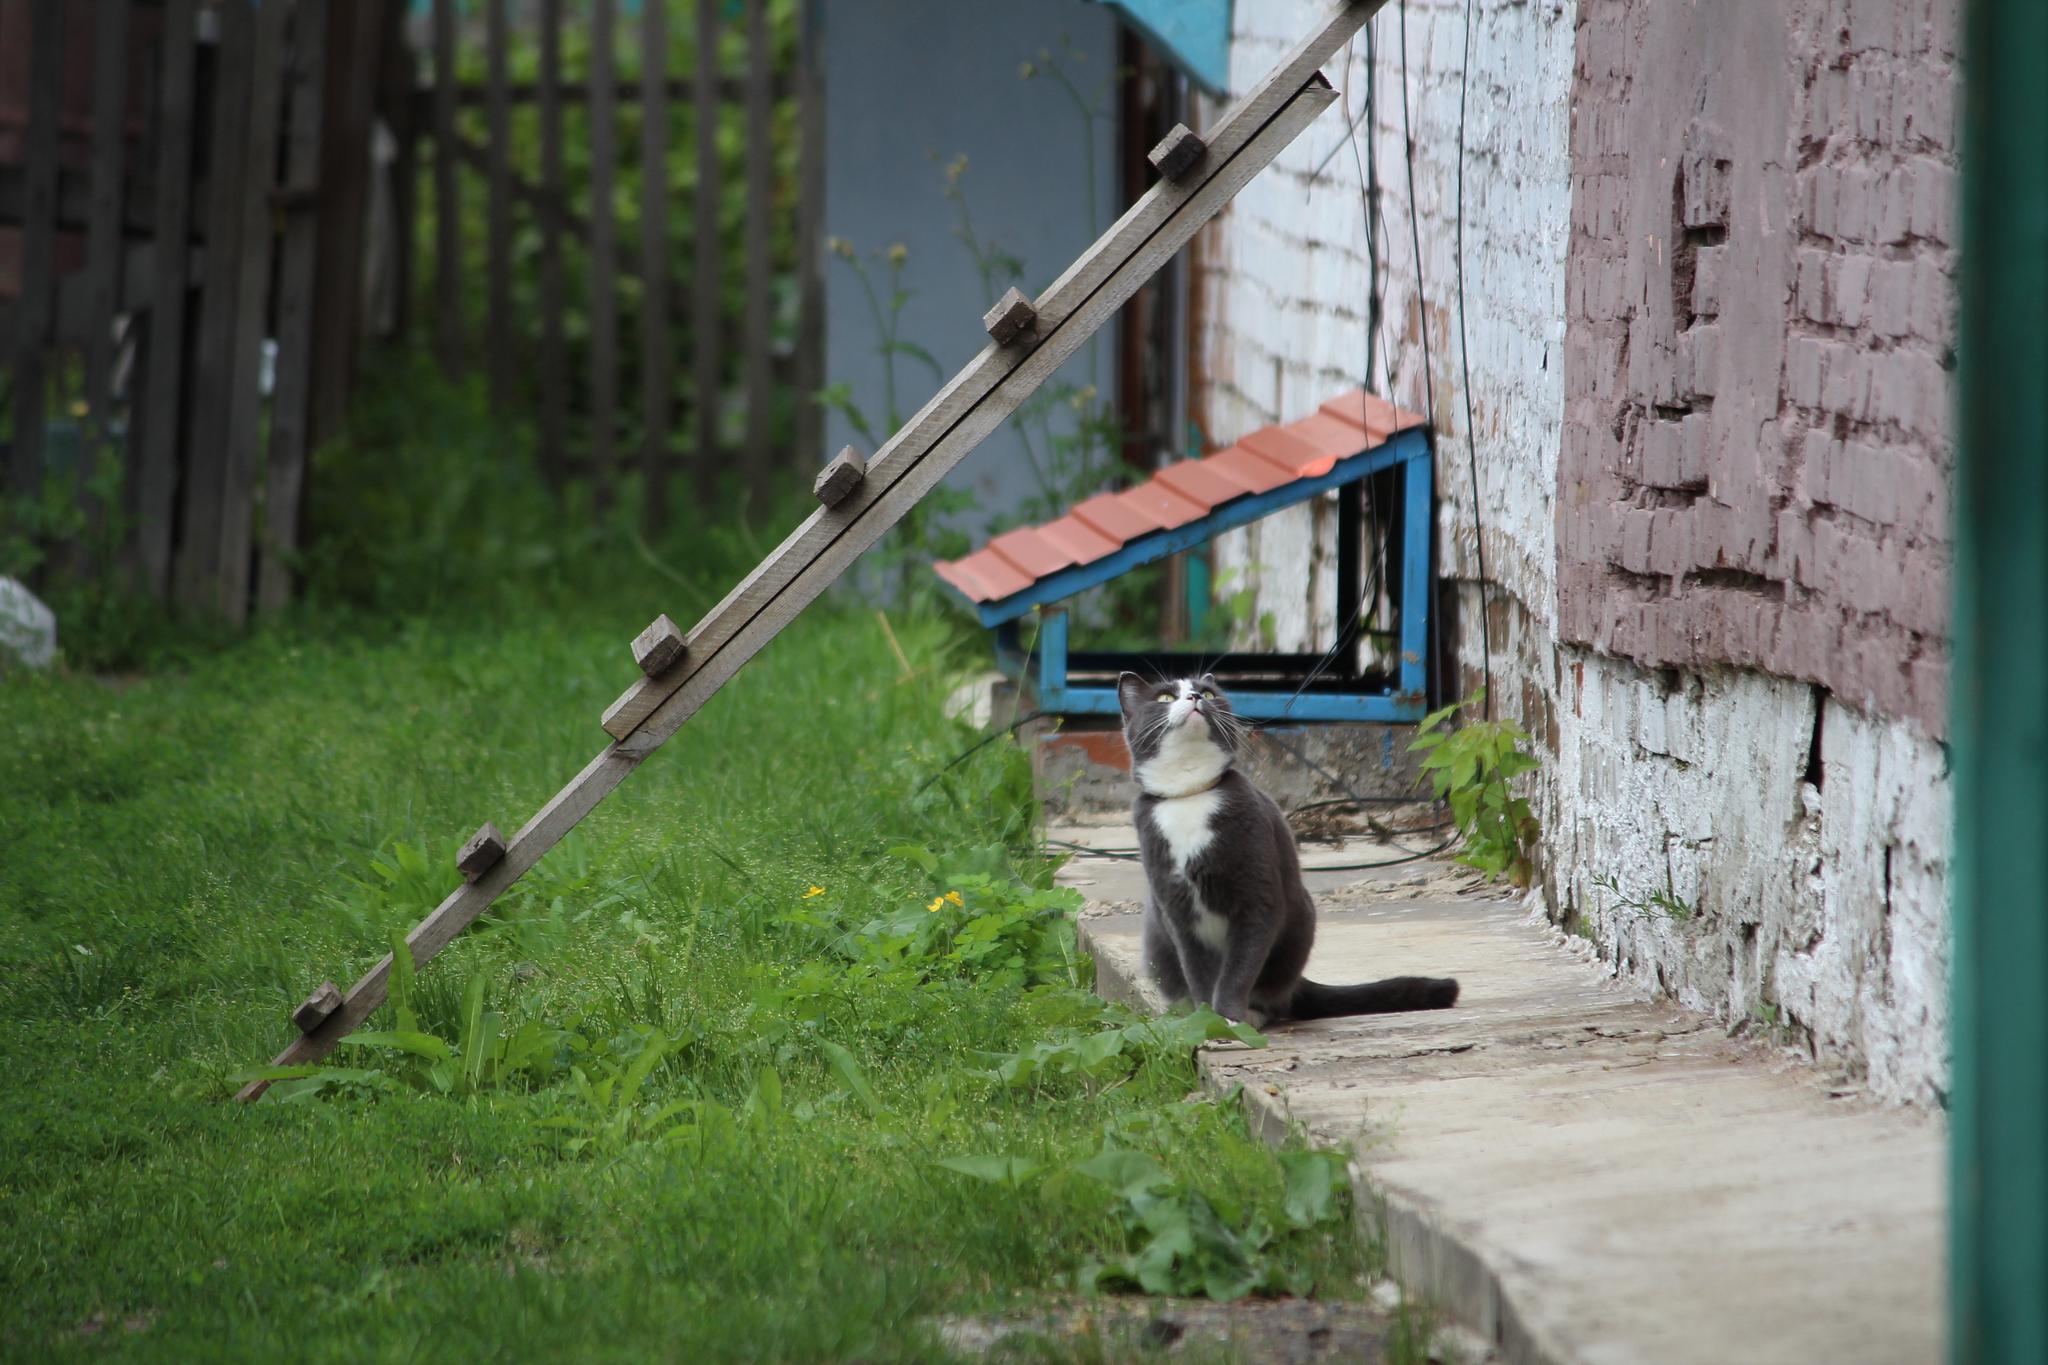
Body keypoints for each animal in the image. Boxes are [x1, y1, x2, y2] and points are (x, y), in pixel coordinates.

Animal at [1122, 671, 1458, 1023]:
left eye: (1209, 693)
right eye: (1164, 697)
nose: (1195, 697)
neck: (1191, 797)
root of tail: (1298, 983)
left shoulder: (1257, 891)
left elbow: (1239, 967)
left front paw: (1229, 1016)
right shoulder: (1176, 911)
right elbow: (1198, 970)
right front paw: (1206, 1019)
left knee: (1275, 1000)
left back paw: (1255, 1013)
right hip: (1156, 935)